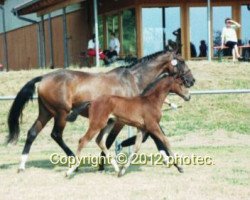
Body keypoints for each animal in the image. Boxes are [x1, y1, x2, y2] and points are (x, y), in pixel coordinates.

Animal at [6, 51, 195, 172]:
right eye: (182, 61)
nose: (192, 80)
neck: (134, 79)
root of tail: (44, 77)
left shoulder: (140, 119)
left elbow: (153, 136)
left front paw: (168, 159)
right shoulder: (121, 120)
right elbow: (110, 141)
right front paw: (103, 164)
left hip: (46, 112)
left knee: (32, 133)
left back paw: (22, 165)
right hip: (61, 113)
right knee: (56, 135)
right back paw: (74, 160)